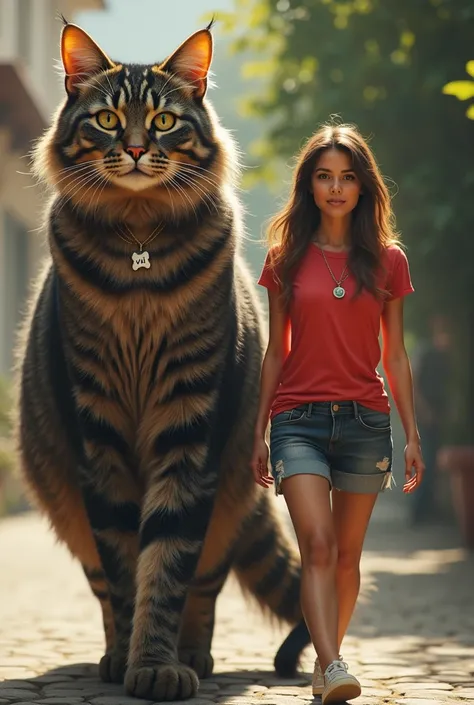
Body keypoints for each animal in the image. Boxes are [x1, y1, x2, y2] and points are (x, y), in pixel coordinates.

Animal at [14, 20, 310, 700]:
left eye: (164, 121)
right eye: (106, 118)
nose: (135, 147)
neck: (138, 253)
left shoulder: (190, 421)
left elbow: (167, 562)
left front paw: (157, 663)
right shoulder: (97, 431)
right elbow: (126, 566)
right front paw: (132, 659)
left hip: (230, 488)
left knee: (205, 585)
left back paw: (194, 656)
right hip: (63, 493)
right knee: (101, 584)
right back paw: (110, 656)